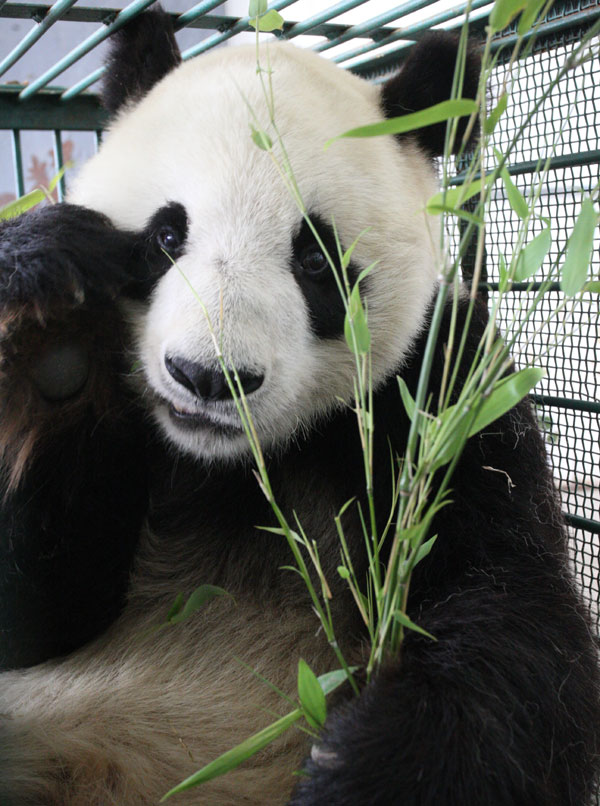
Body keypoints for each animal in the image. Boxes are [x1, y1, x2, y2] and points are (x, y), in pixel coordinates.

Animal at [0, 9, 599, 805]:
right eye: (166, 235)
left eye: (315, 259)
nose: (208, 377)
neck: (227, 463)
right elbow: (46, 609)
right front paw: (49, 309)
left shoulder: (443, 393)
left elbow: (519, 610)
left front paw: (359, 772)